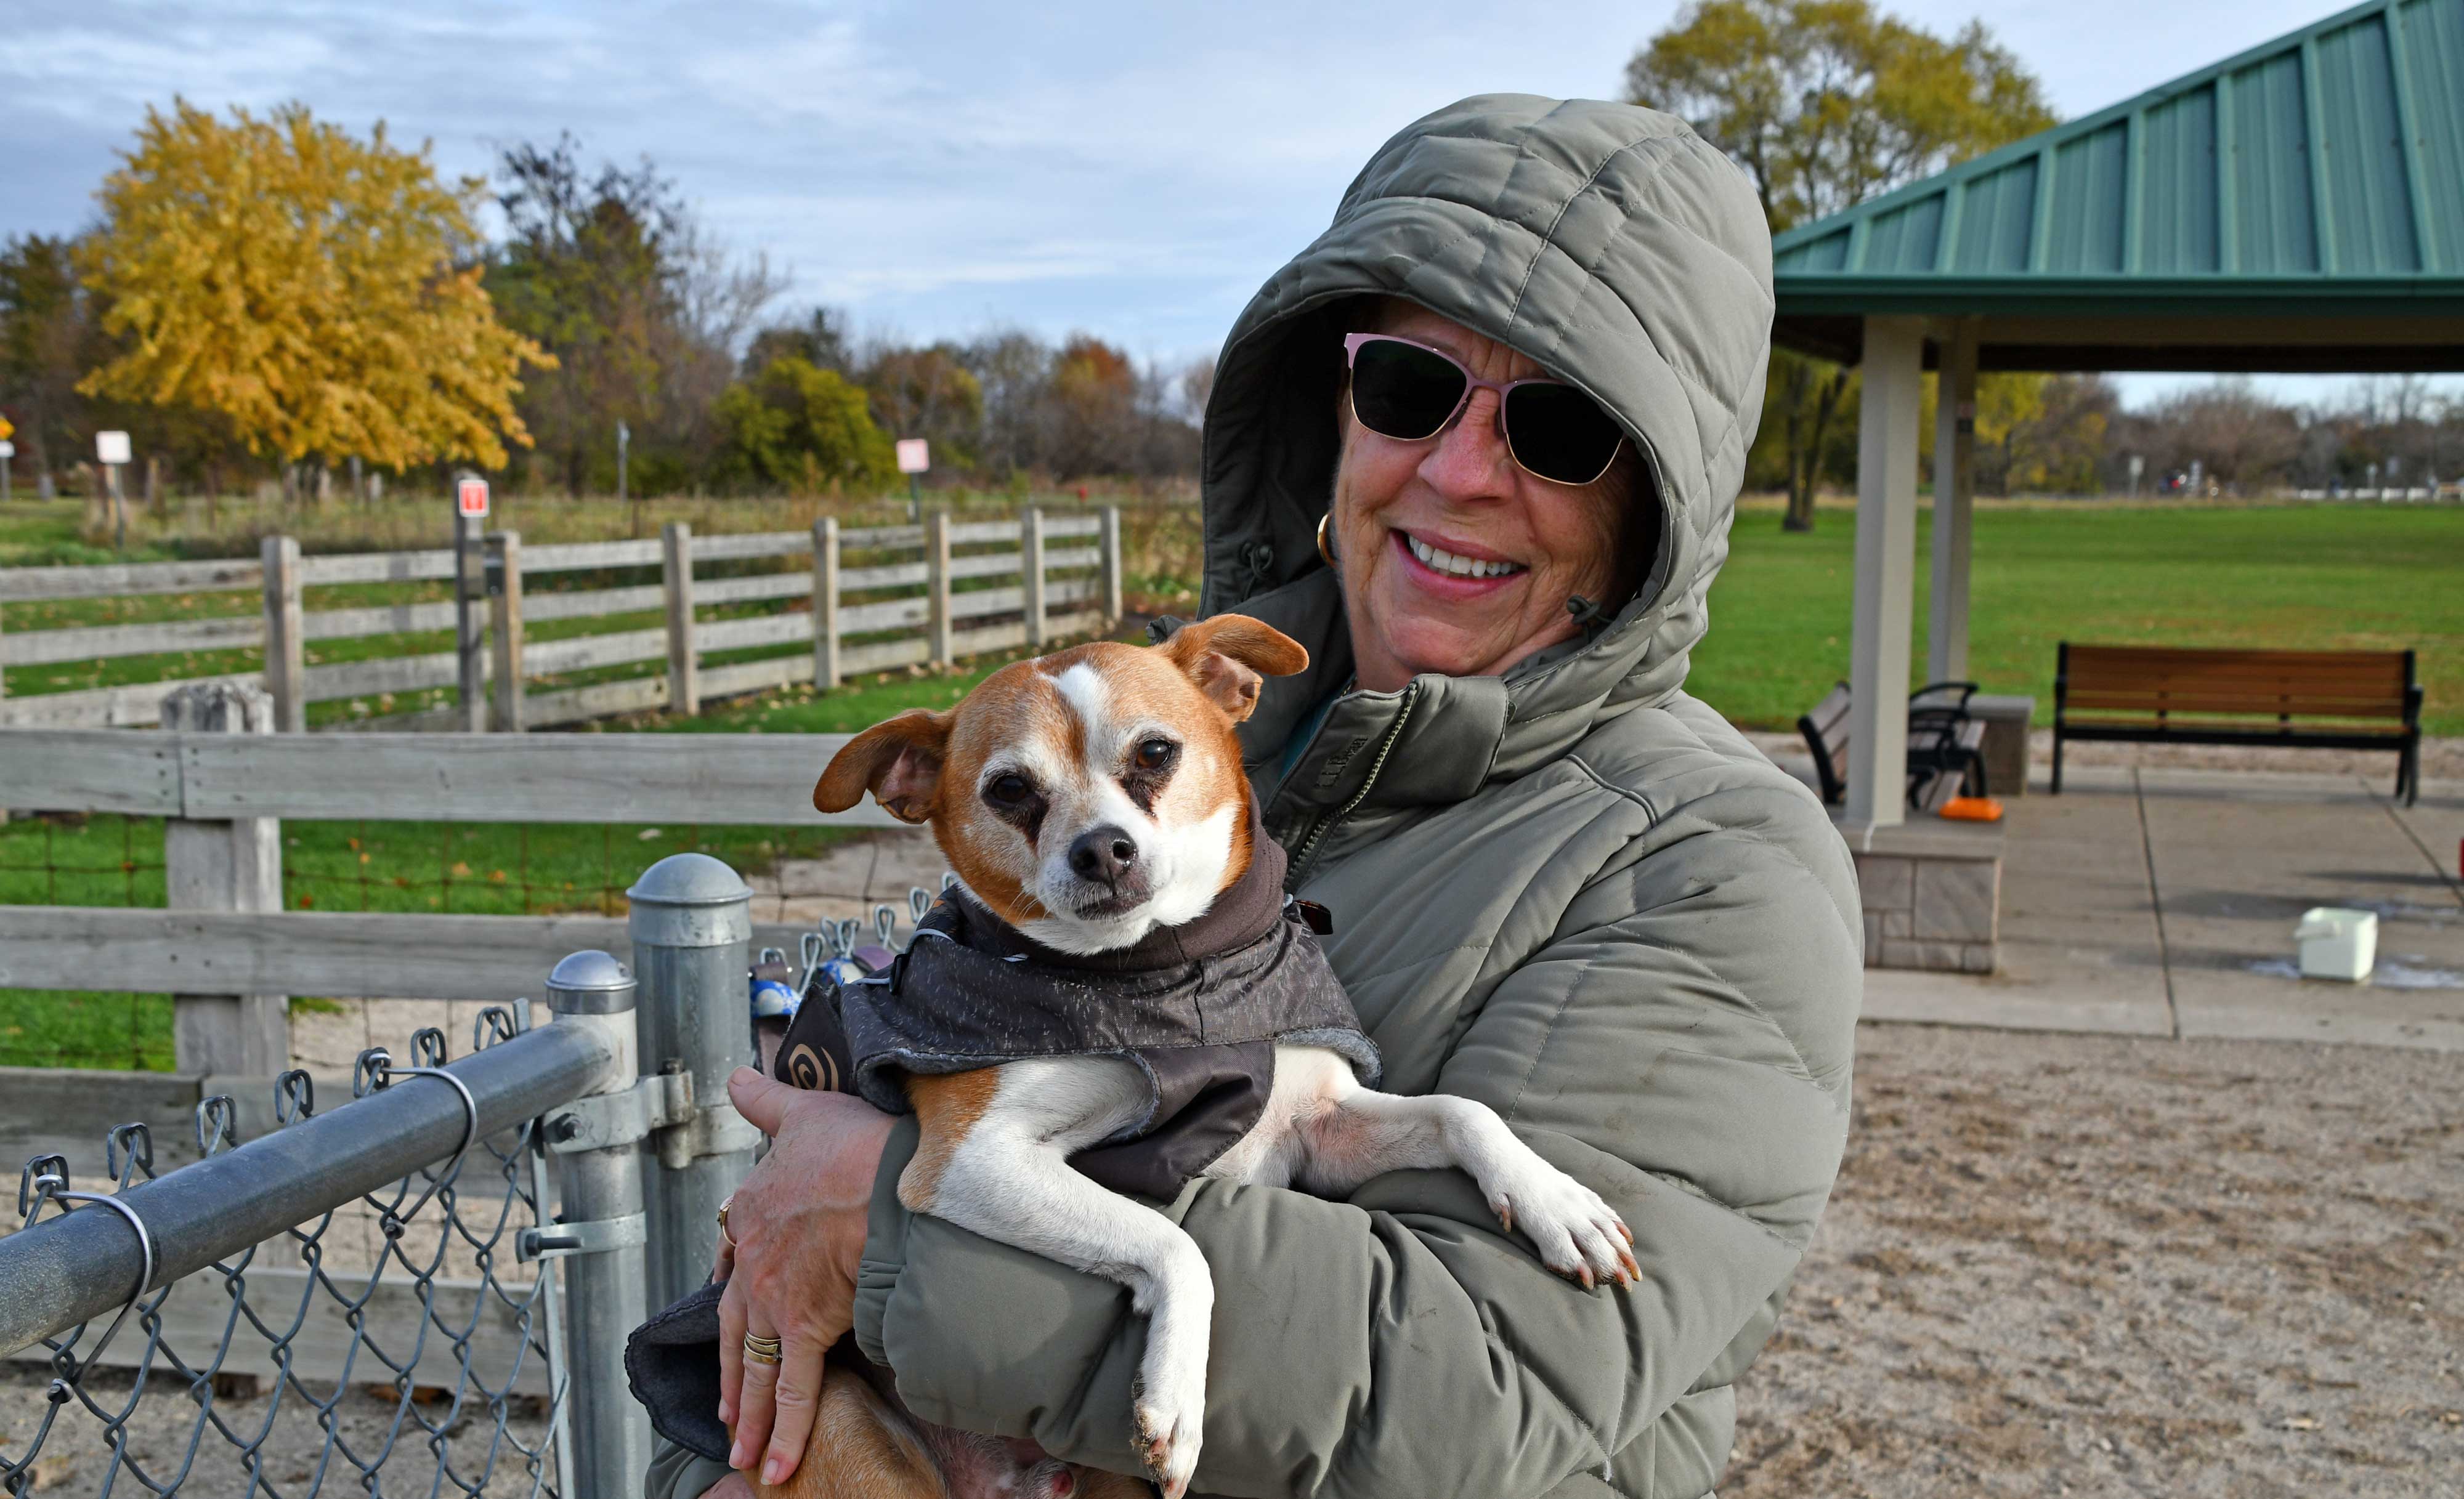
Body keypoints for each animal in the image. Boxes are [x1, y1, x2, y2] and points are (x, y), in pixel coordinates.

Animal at [769, 618, 1626, 1499]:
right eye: (1008, 789)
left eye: (1154, 752)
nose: (1102, 850)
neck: (1168, 976)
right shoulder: (970, 1158)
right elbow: (1176, 1244)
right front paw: (1177, 1396)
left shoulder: (1320, 1129)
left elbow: (1466, 1110)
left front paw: (1556, 1200)